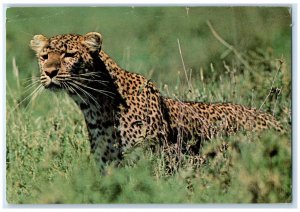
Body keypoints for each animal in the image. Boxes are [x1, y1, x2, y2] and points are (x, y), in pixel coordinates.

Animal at [30, 31, 284, 169]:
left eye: (69, 55)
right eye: (44, 56)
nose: (50, 72)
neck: (94, 106)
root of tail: (279, 123)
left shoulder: (155, 160)